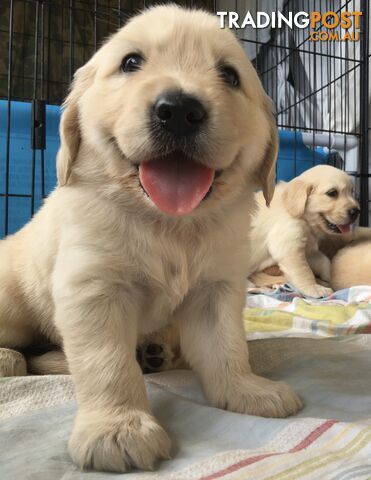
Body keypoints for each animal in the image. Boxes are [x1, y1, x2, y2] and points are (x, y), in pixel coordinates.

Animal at [0, 6, 304, 472]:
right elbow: (106, 364)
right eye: (130, 62)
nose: (178, 110)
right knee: (32, 351)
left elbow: (227, 347)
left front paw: (247, 390)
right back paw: (11, 359)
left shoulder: (216, 290)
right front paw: (117, 428)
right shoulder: (94, 290)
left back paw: (155, 352)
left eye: (229, 75)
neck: (168, 224)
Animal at [250, 167, 360, 298]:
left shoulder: (309, 249)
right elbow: (304, 271)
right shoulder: (288, 242)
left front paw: (330, 277)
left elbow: (324, 261)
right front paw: (314, 288)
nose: (356, 211)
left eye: (352, 191)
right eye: (332, 193)